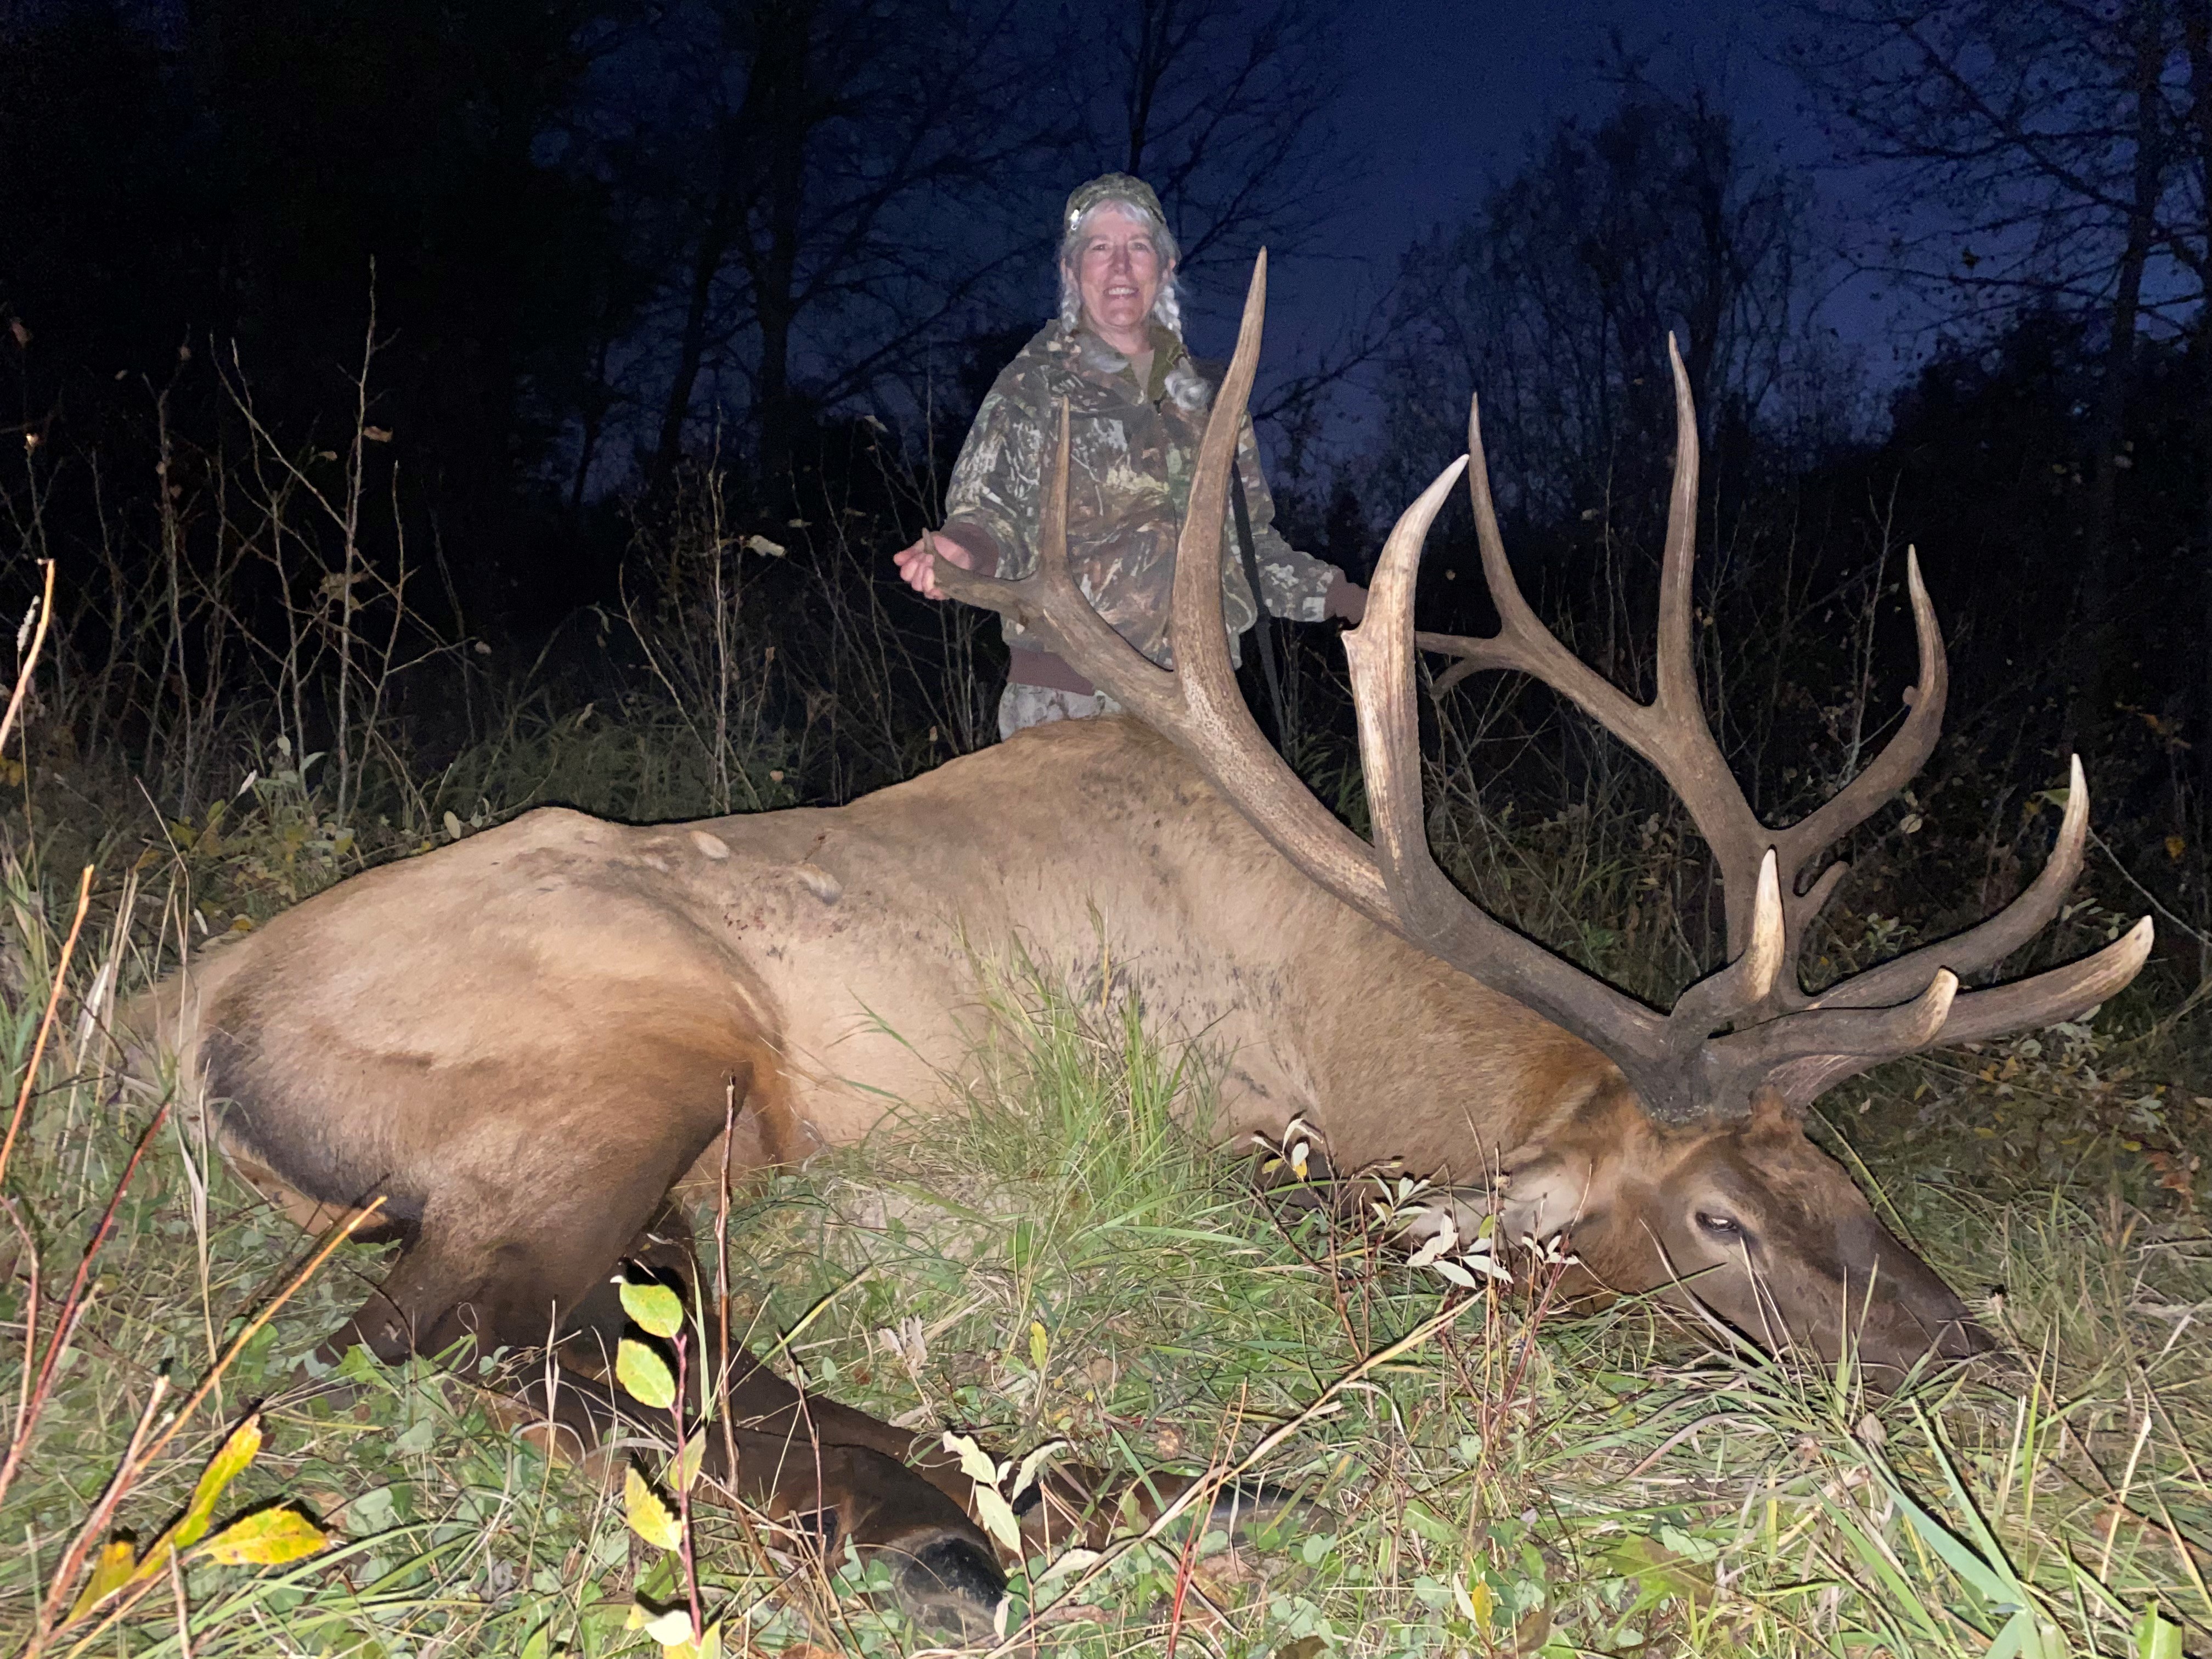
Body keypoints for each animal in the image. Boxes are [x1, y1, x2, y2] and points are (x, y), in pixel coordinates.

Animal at [125, 254, 2151, 1639]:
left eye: (1841, 1172)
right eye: (1719, 1220)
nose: (1993, 1372)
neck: (1353, 1029)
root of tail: (174, 1024)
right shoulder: (1217, 1136)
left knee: (629, 1324)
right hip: (626, 1050)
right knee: (438, 1336)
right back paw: (1012, 1514)